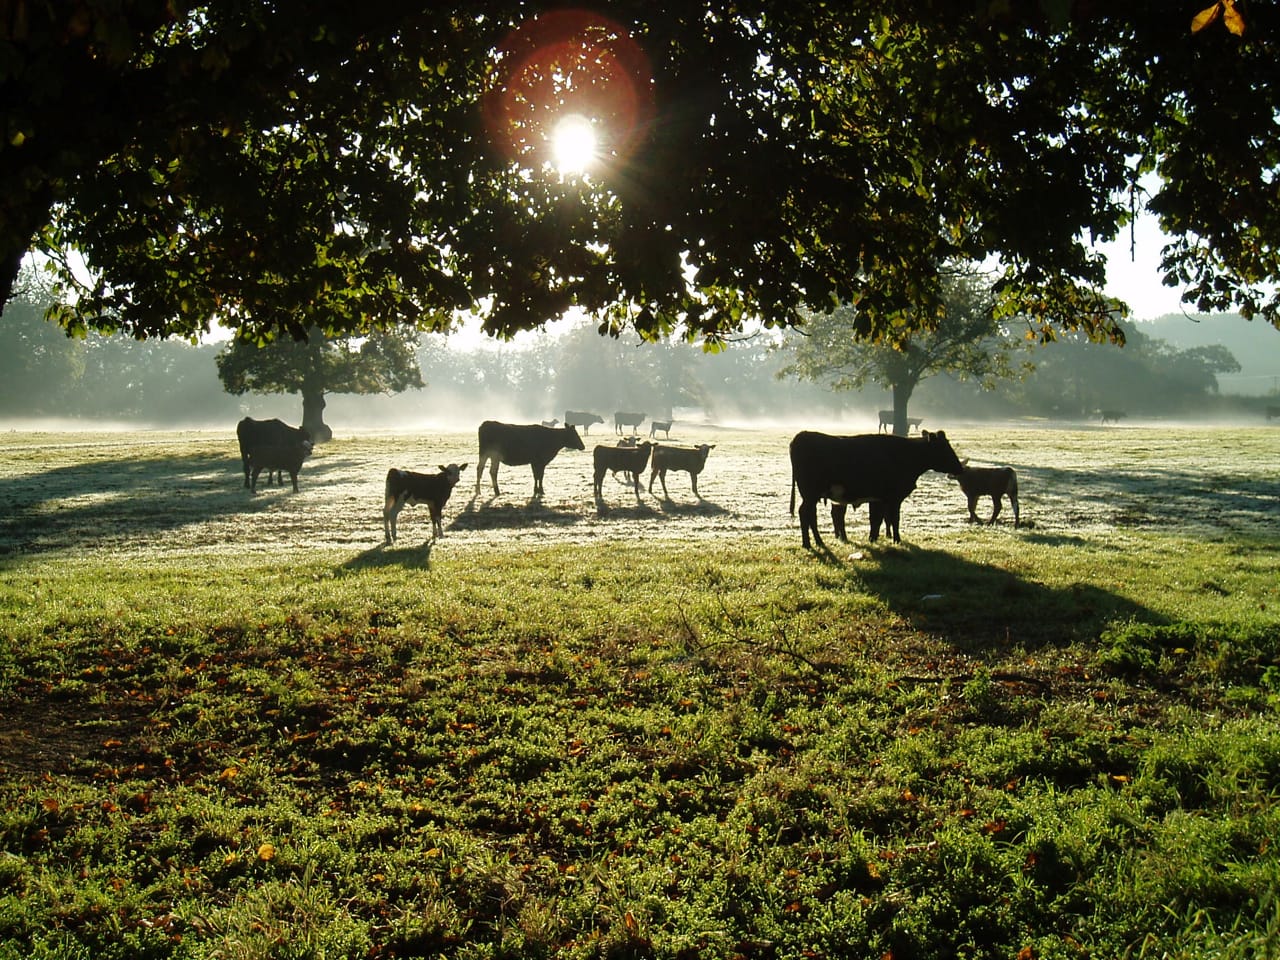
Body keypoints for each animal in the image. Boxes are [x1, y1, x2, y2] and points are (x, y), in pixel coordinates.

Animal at [789, 430, 964, 548]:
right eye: (944, 448)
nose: (959, 467)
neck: (906, 455)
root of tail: (801, 435)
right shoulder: (893, 498)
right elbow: (894, 519)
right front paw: (897, 540)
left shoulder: (880, 499)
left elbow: (877, 520)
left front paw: (873, 539)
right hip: (810, 493)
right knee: (805, 513)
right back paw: (809, 544)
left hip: (811, 495)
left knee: (810, 515)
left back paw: (817, 542)